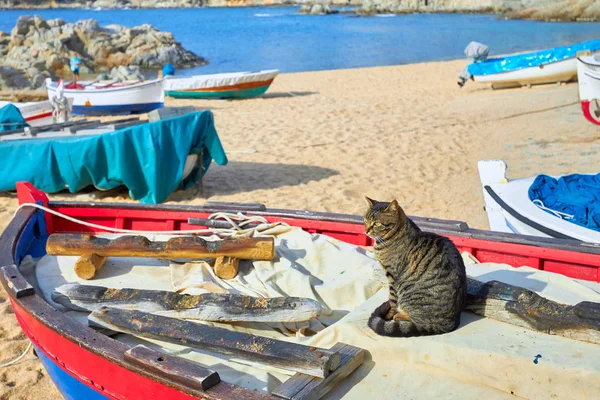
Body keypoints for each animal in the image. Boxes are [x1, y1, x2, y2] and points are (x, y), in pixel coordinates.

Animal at [364, 197, 466, 338]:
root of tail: (449, 323)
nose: (366, 231)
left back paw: (399, 316)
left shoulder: (392, 275)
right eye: (365, 220)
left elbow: (392, 300)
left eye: (377, 223)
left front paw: (389, 314)